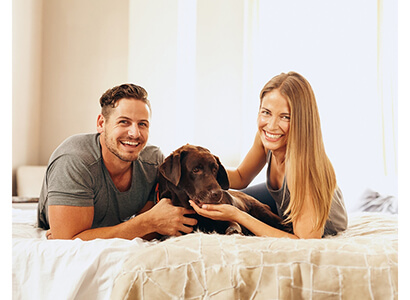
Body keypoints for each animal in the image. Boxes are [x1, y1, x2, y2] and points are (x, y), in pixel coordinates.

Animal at [157, 144, 292, 236]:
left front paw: (234, 231)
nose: (218, 194)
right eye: (196, 170)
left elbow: (233, 224)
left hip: (264, 212)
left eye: (215, 169)